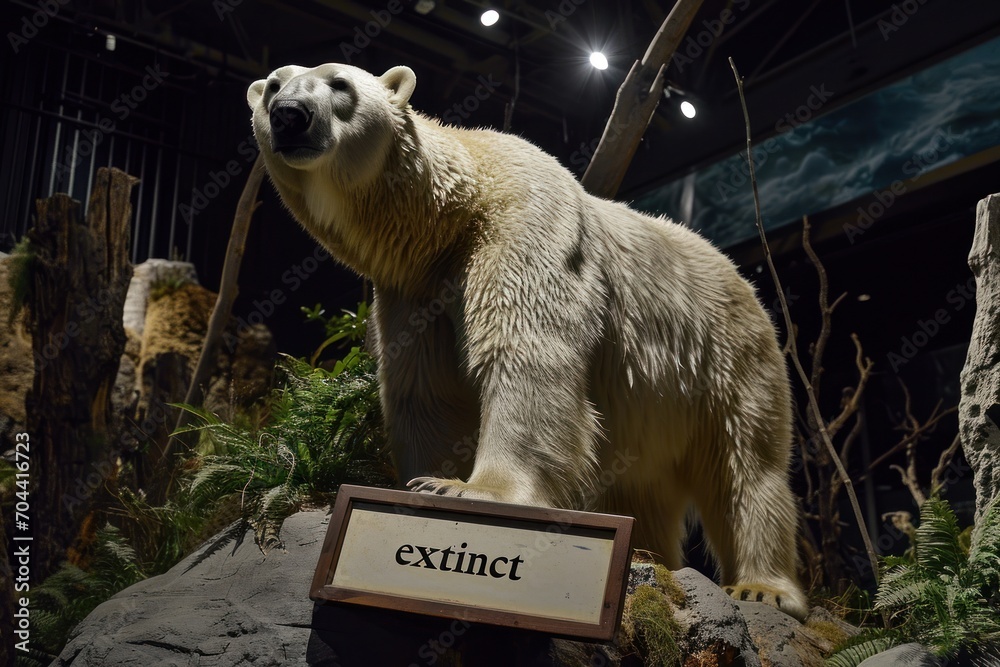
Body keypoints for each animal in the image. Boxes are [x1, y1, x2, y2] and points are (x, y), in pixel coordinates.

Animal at [250, 64, 812, 620]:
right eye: (273, 86)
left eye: (340, 84)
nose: (289, 116)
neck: (450, 217)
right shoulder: (413, 289)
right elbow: (426, 391)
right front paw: (422, 482)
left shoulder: (525, 225)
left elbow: (523, 355)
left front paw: (471, 490)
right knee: (641, 485)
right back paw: (652, 555)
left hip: (728, 350)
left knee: (746, 464)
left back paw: (763, 587)